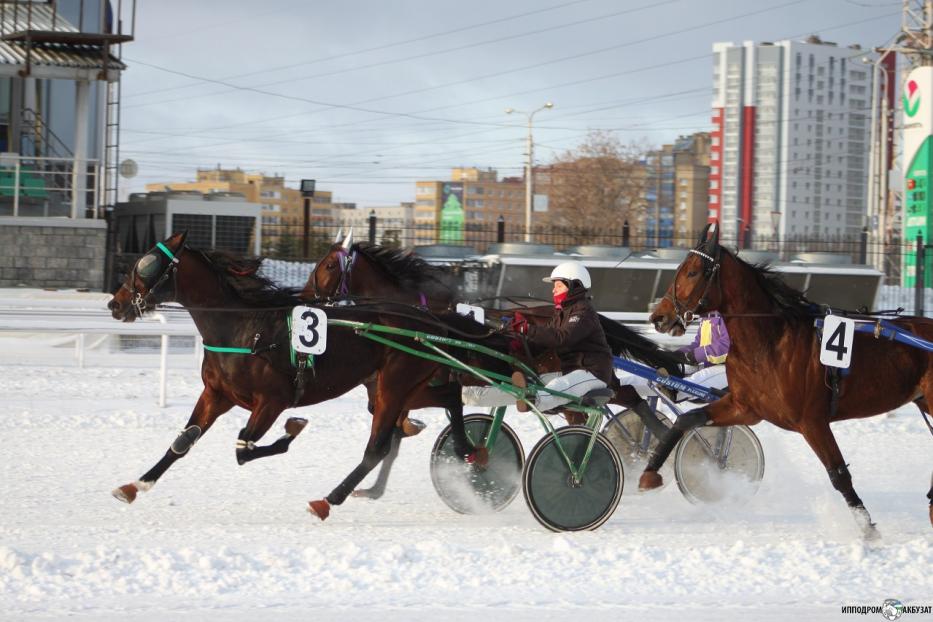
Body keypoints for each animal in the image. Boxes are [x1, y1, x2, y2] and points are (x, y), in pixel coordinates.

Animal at [110, 232, 510, 520]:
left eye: (147, 264)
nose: (116, 304)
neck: (243, 329)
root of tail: (431, 322)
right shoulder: (216, 395)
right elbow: (183, 442)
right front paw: (135, 484)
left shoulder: (272, 401)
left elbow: (244, 448)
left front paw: (294, 429)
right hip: (402, 386)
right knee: (449, 401)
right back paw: (470, 451)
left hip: (395, 385)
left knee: (378, 446)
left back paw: (329, 500)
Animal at [640, 227, 932, 540]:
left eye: (693, 272)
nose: (658, 317)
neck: (770, 342)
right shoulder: (745, 407)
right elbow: (687, 420)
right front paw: (649, 473)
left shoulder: (812, 421)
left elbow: (839, 474)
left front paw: (868, 530)